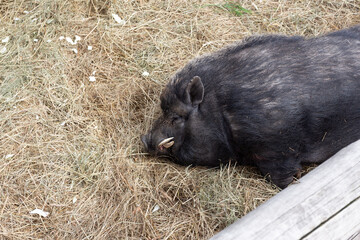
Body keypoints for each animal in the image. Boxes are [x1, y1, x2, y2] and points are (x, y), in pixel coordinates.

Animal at [141, 25, 360, 188]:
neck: (221, 109)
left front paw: (295, 178)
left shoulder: (278, 149)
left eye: (176, 117)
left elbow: (281, 177)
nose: (144, 139)